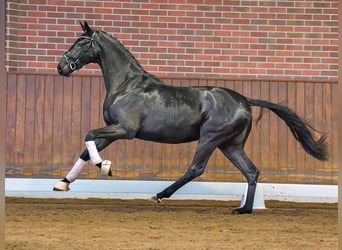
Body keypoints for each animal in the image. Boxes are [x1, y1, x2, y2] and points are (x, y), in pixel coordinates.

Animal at [54, 21, 328, 215]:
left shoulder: (125, 130)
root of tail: (244, 100)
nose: (61, 67)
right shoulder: (113, 129)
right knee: (251, 171)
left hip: (210, 138)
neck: (127, 85)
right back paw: (243, 209)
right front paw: (63, 183)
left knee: (196, 168)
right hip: (230, 144)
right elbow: (86, 149)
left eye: (81, 42)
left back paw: (159, 195)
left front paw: (105, 166)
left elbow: (89, 136)